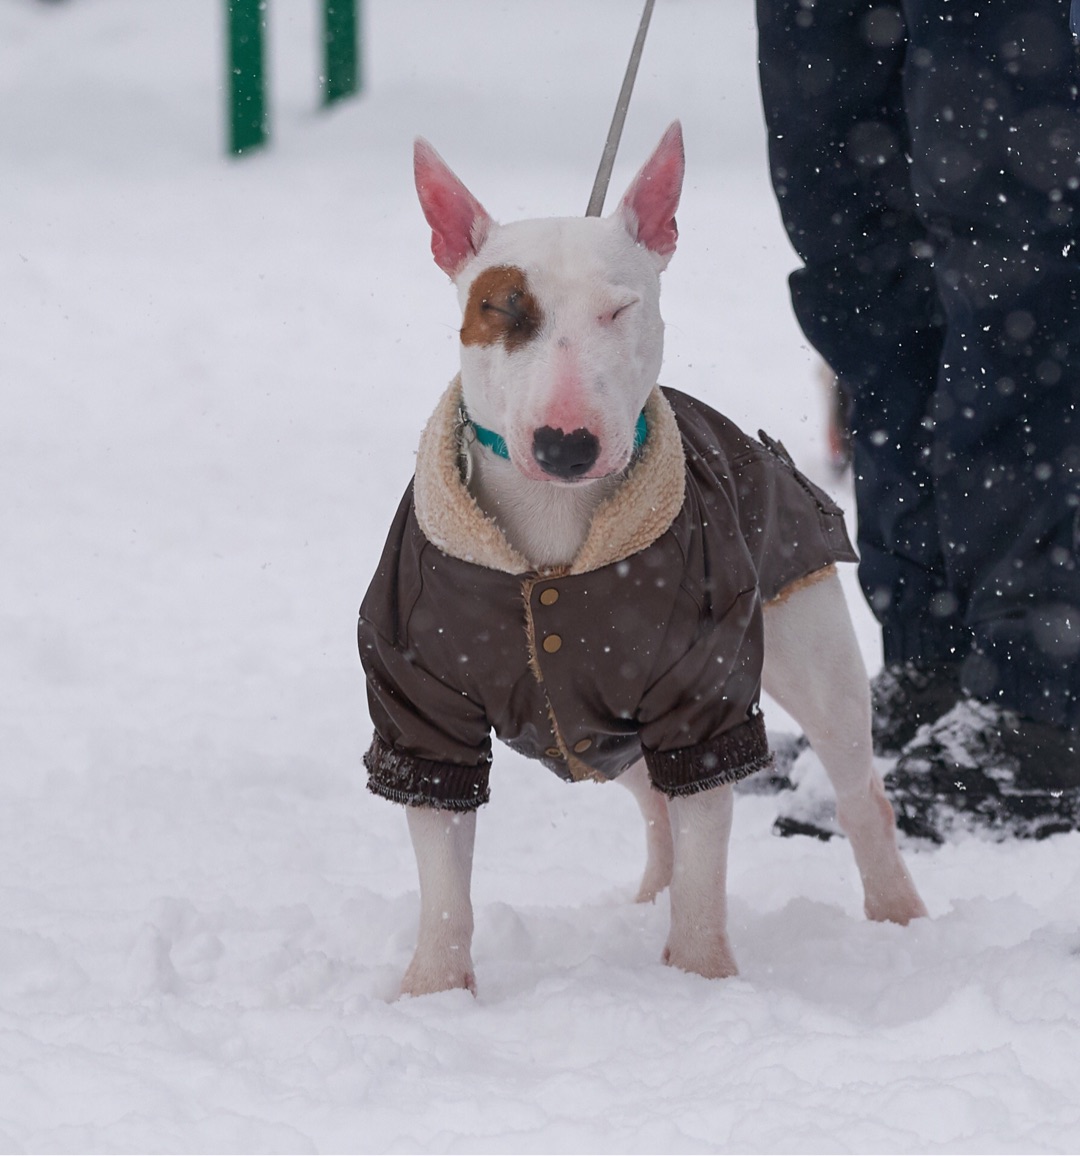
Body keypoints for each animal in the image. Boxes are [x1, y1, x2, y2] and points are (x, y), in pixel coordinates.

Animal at [356, 121, 929, 998]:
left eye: (619, 307)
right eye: (501, 310)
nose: (565, 446)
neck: (557, 539)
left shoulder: (705, 696)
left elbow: (705, 841)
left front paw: (699, 979)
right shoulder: (421, 704)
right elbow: (443, 860)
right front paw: (433, 995)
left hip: (805, 645)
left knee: (858, 788)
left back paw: (899, 919)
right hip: (585, 726)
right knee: (653, 803)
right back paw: (647, 902)